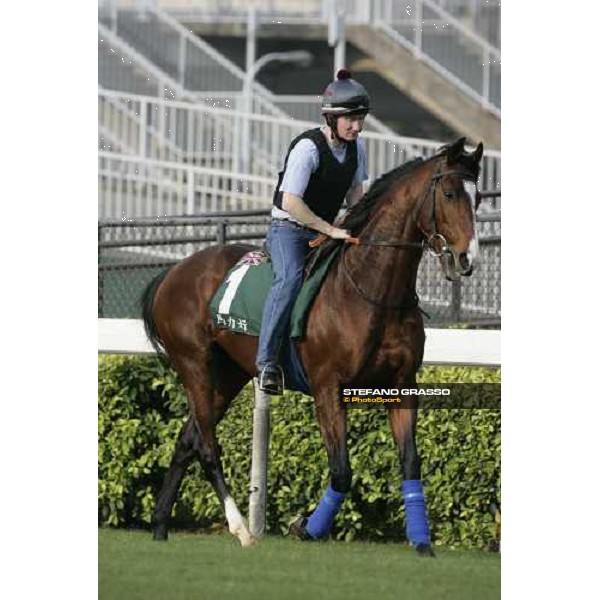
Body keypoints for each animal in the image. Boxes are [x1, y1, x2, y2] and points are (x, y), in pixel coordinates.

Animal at [141, 137, 482, 556]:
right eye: (449, 193)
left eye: (478, 196)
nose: (467, 258)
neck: (370, 290)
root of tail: (173, 272)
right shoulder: (328, 388)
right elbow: (342, 472)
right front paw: (305, 526)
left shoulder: (402, 386)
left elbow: (410, 463)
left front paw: (421, 542)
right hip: (195, 366)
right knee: (206, 447)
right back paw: (241, 529)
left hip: (227, 375)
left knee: (186, 439)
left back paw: (160, 525)